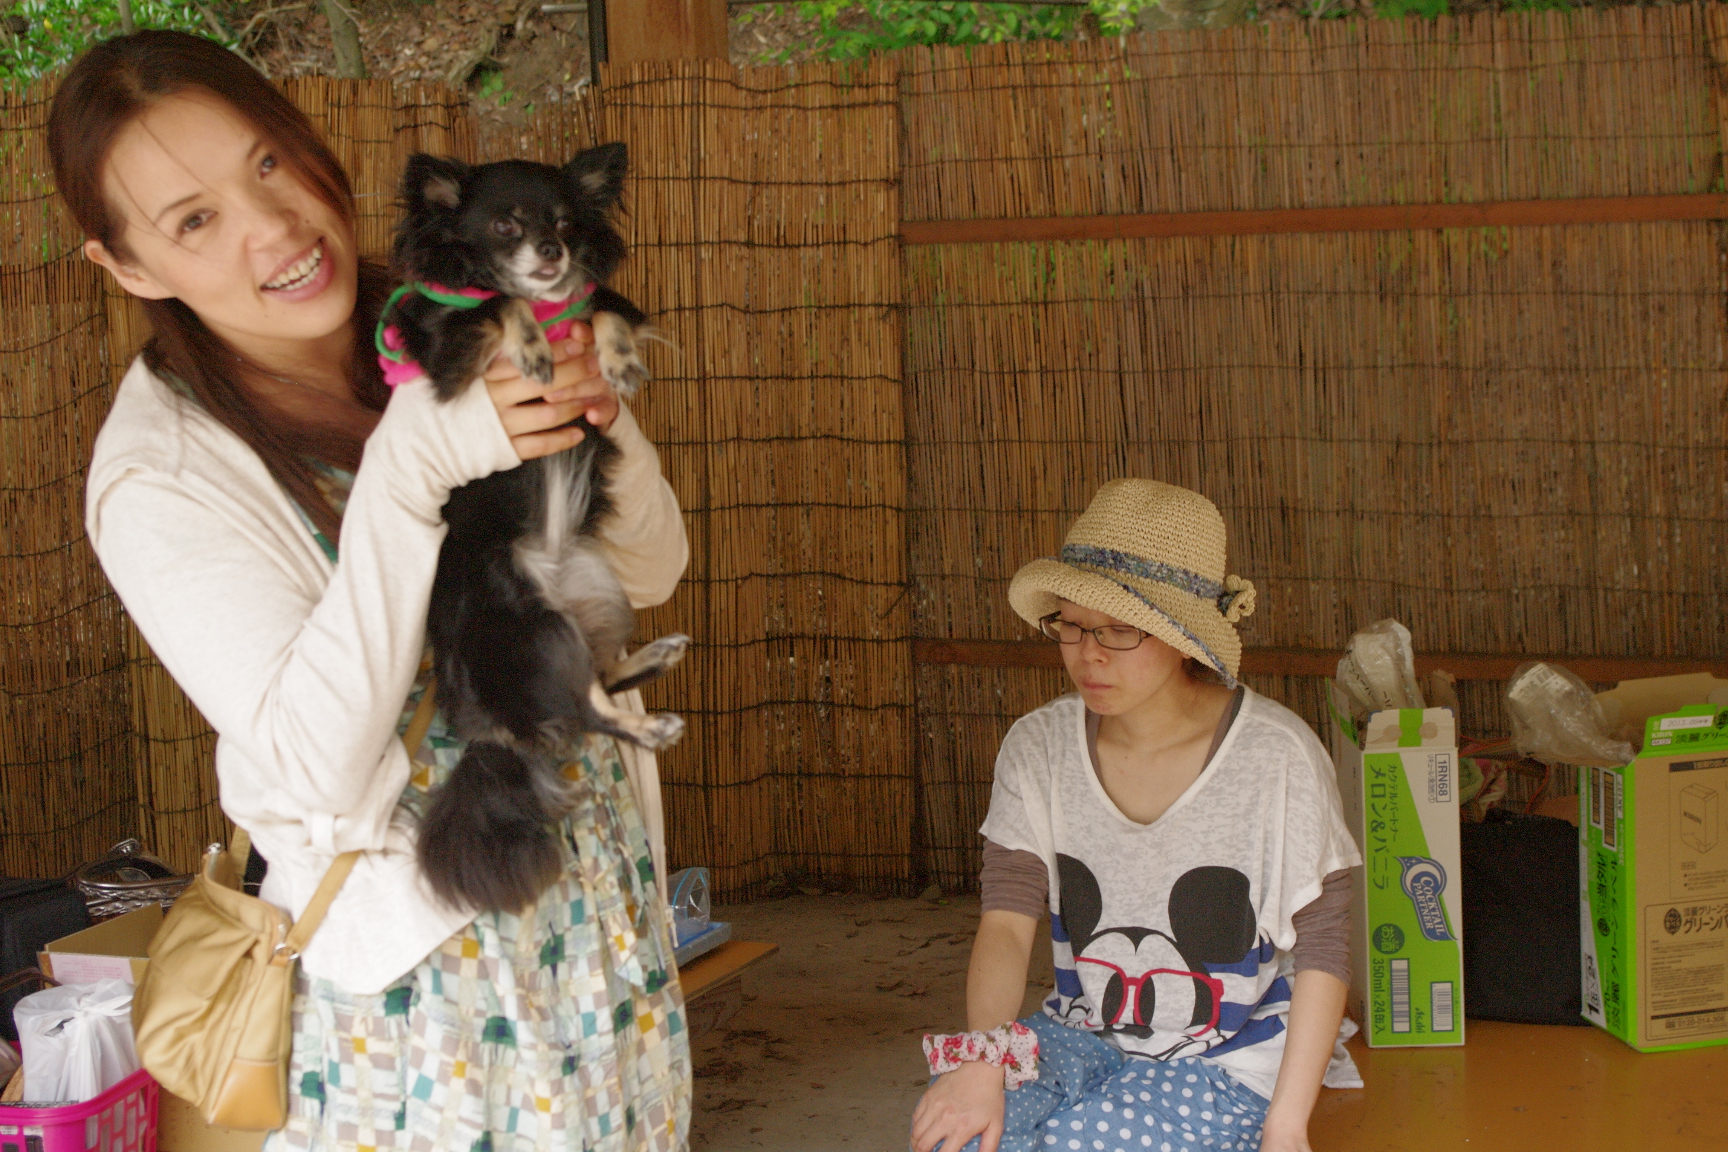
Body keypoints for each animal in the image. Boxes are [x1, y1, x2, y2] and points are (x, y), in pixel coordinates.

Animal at [381, 142, 687, 914]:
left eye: (565, 224)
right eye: (504, 227)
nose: (551, 251)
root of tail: (483, 722)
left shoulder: (593, 303)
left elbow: (601, 309)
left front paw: (616, 360)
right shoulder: (452, 358)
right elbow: (503, 300)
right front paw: (532, 346)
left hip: (595, 583)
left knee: (595, 677)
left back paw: (655, 656)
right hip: (537, 628)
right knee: (582, 708)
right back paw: (649, 724)